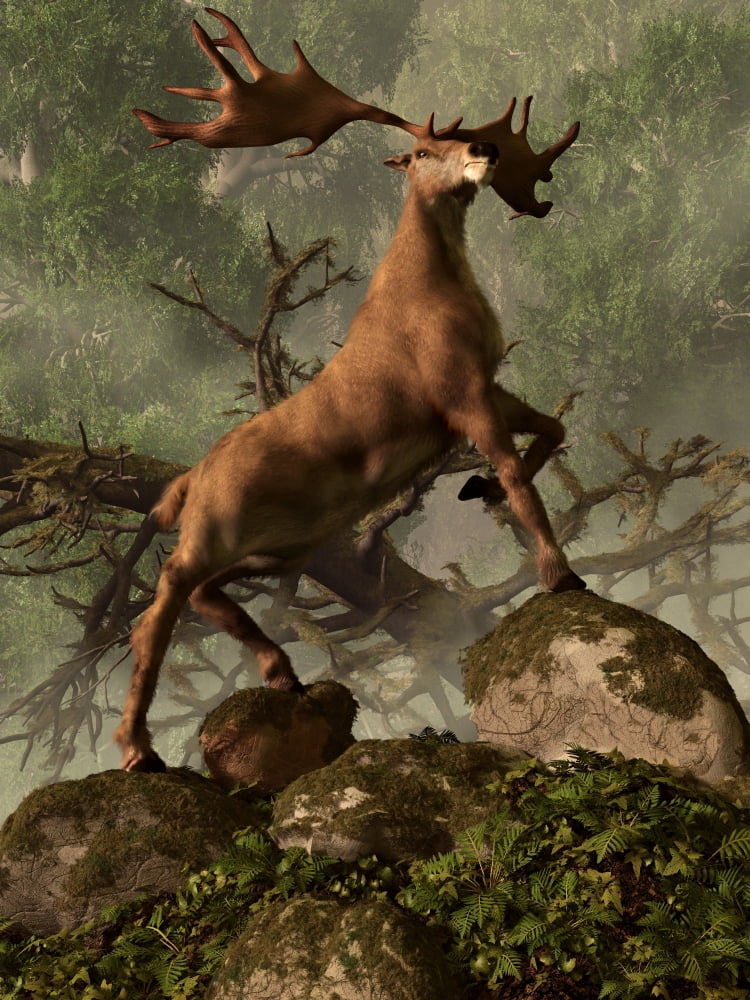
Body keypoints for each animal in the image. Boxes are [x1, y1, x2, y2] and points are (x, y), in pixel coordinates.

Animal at [114, 8, 585, 772]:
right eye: (421, 151)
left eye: (460, 137)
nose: (483, 147)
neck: (431, 290)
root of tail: (188, 481)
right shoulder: (457, 389)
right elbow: (520, 472)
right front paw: (558, 572)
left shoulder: (482, 386)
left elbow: (553, 430)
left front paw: (477, 488)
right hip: (215, 527)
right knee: (158, 605)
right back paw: (138, 749)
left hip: (280, 541)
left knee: (205, 597)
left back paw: (279, 671)